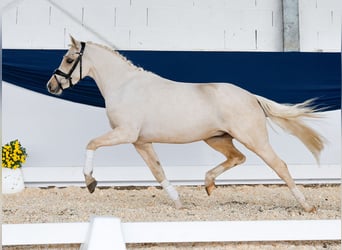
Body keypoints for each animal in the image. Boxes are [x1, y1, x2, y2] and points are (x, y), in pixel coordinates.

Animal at [47, 36, 324, 212]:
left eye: (69, 59)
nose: (51, 86)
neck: (125, 86)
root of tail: (251, 96)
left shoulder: (125, 133)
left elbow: (91, 143)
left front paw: (90, 182)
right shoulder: (140, 142)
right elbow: (158, 171)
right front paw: (178, 202)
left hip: (254, 139)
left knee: (280, 165)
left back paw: (307, 206)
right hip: (217, 138)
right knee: (238, 158)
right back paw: (208, 184)